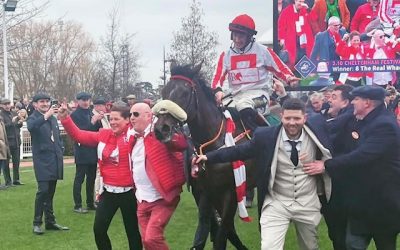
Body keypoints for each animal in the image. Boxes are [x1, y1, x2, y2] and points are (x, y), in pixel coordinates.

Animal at [153, 63, 256, 249]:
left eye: (185, 93)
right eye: (164, 91)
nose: (161, 129)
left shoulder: (231, 192)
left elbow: (222, 234)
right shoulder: (207, 191)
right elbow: (216, 230)